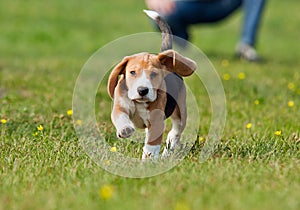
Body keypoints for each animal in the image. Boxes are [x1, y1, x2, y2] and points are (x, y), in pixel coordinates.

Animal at [107, 9, 197, 158]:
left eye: (154, 74)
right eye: (132, 72)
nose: (142, 90)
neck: (139, 102)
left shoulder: (156, 122)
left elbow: (152, 145)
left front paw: (148, 159)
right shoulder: (120, 106)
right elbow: (120, 116)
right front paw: (125, 129)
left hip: (180, 111)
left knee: (175, 132)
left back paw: (167, 152)